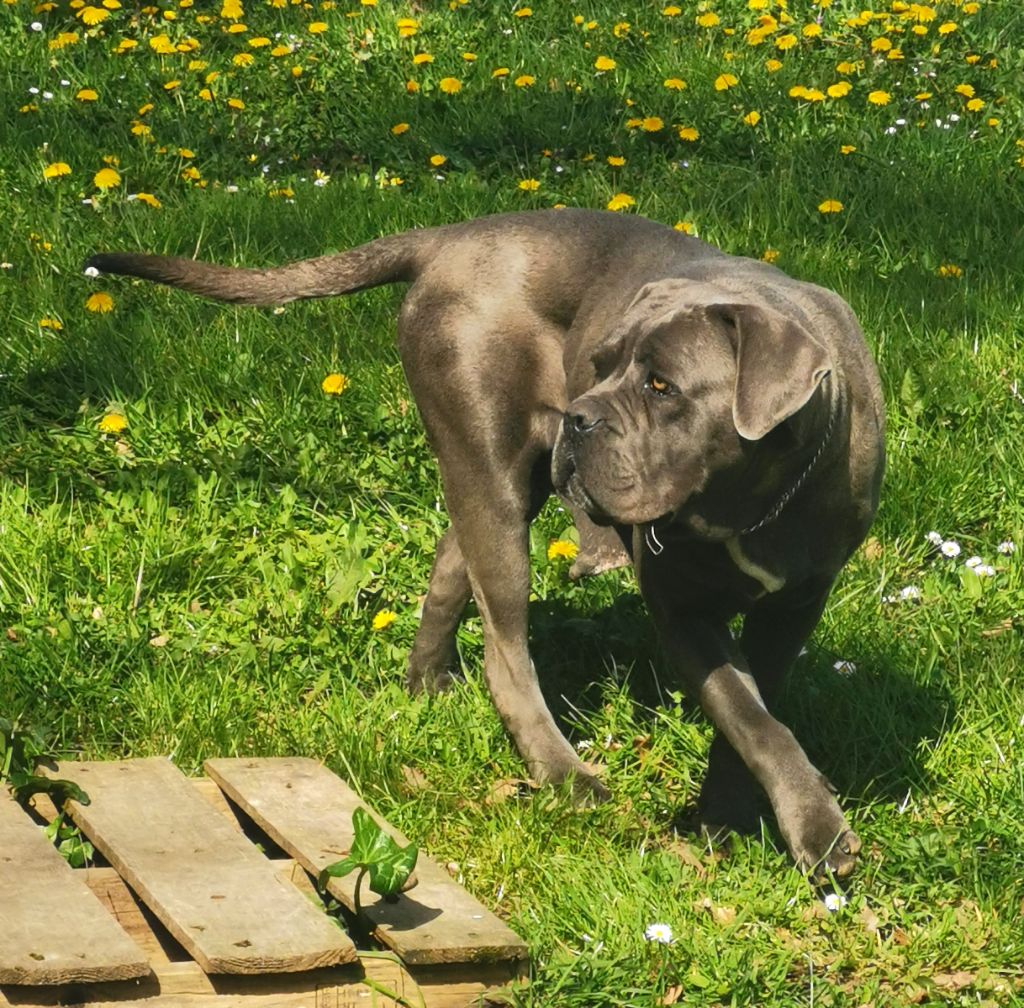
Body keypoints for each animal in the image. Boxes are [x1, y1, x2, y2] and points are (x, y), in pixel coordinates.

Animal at [88, 208, 884, 876]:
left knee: (450, 567)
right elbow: (750, 716)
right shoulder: (681, 609)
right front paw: (819, 832)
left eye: (662, 386)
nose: (580, 417)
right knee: (506, 649)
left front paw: (731, 817)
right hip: (492, 471)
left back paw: (427, 686)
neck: (749, 501)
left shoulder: (795, 604)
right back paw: (565, 775)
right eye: (600, 364)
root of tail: (450, 235)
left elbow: (753, 713)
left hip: (494, 481)